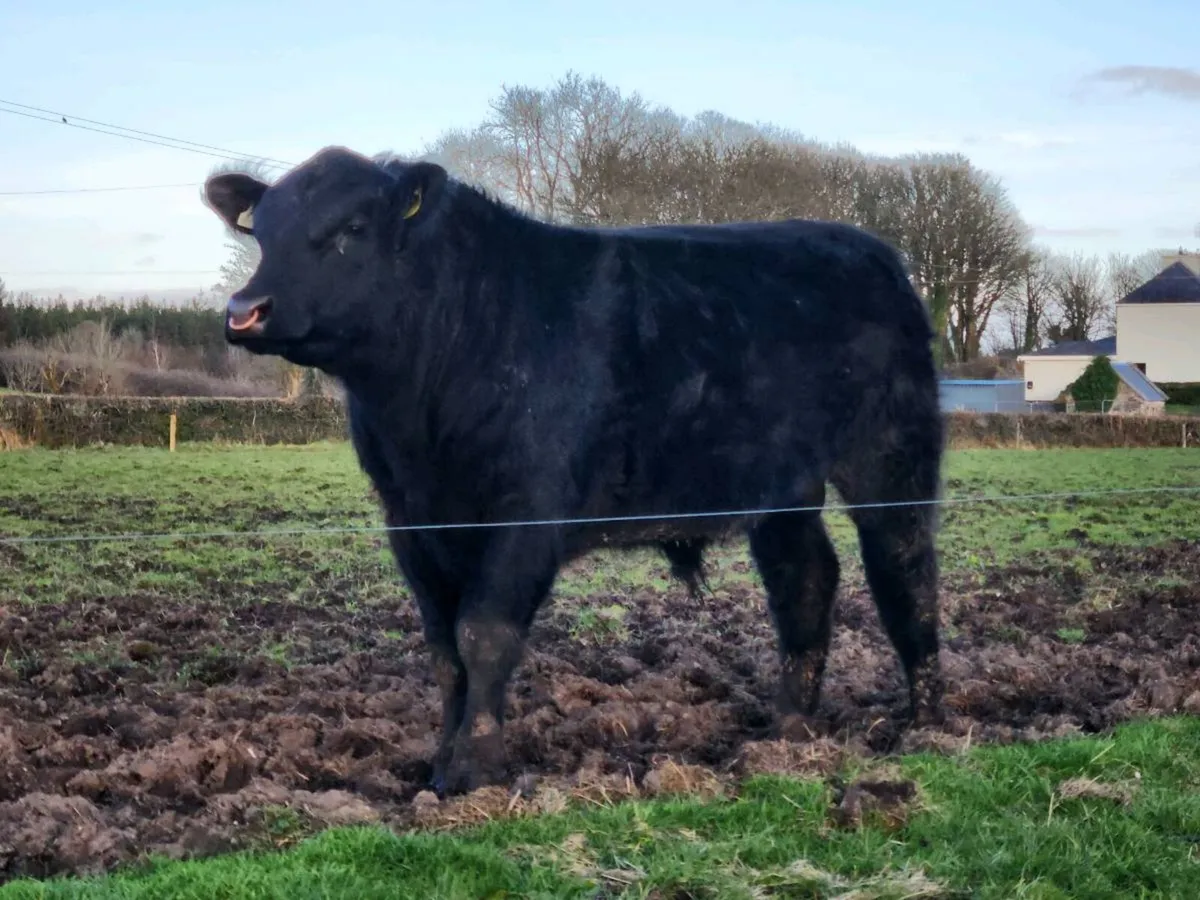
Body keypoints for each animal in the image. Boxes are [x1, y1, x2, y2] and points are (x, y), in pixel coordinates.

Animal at [202, 145, 947, 796]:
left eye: (352, 229)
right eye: (262, 231)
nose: (244, 311)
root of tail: (871, 251)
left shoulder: (529, 511)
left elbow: (483, 635)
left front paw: (476, 770)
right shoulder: (409, 520)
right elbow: (443, 650)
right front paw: (439, 763)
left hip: (891, 454)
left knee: (904, 570)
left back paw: (927, 725)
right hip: (780, 488)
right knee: (806, 580)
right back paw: (789, 729)